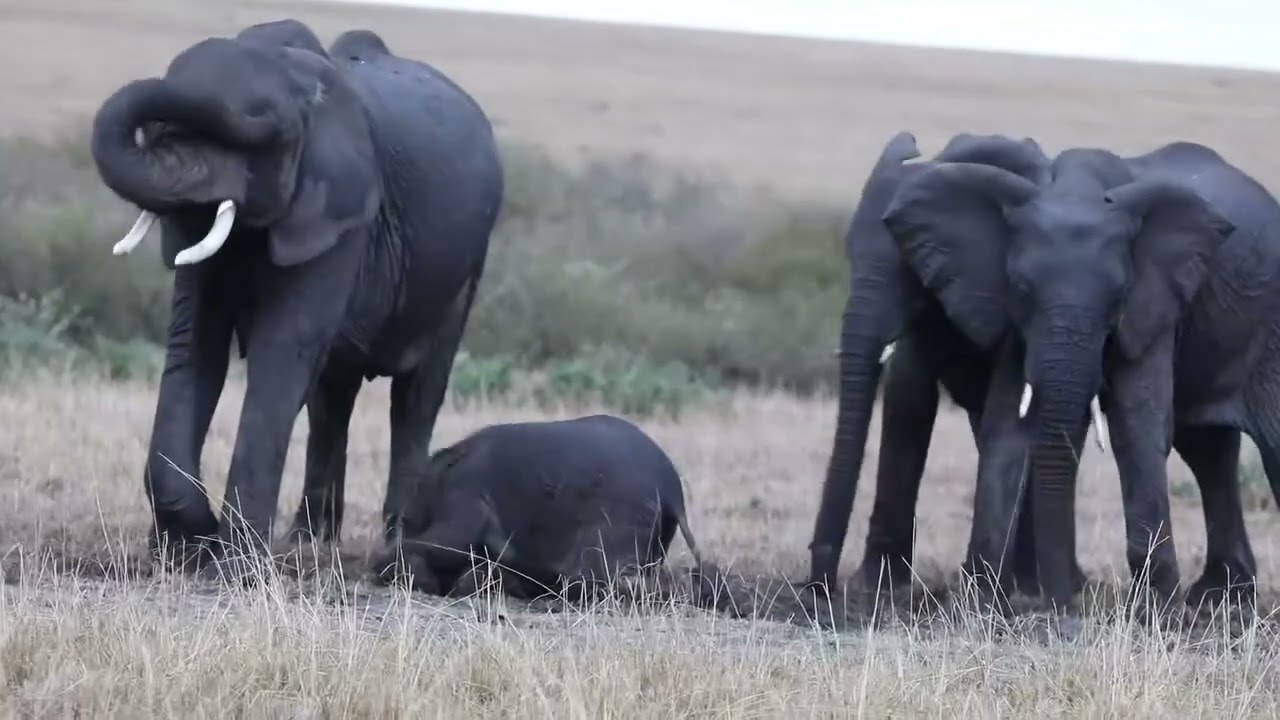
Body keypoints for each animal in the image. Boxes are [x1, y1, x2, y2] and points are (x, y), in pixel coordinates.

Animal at [88, 19, 504, 571]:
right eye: (159, 132)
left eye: (269, 136)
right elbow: (196, 346)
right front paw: (183, 548)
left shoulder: (343, 213)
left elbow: (280, 354)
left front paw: (234, 563)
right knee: (331, 400)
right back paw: (308, 541)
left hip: (464, 270)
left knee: (416, 397)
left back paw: (392, 541)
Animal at [806, 130, 1097, 600]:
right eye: (848, 254)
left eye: (910, 266)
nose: (819, 587)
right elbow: (909, 395)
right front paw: (875, 591)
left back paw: (1036, 585)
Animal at [880, 139, 1280, 611]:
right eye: (1021, 289)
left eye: (1118, 296)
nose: (1059, 606)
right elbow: (1006, 427)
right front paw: (981, 605)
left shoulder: (1154, 303)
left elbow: (1136, 425)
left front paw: (1159, 613)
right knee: (1208, 452)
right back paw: (1220, 596)